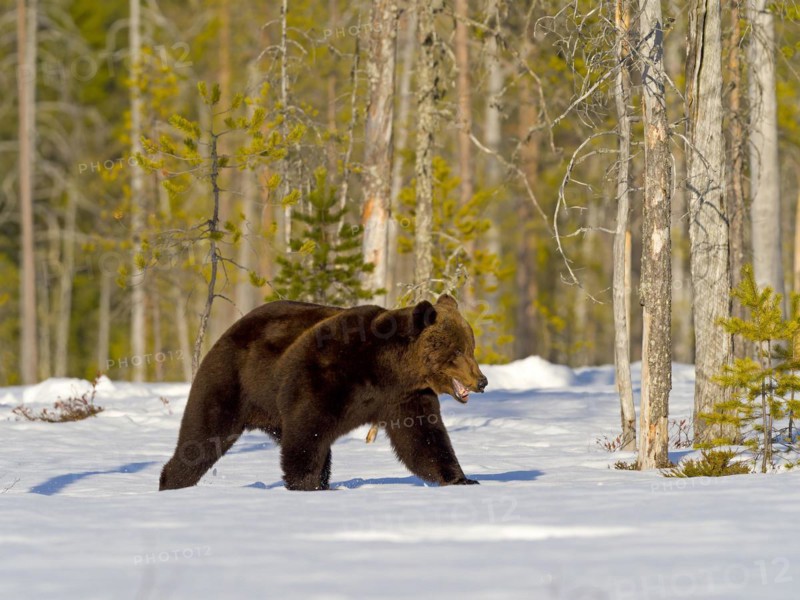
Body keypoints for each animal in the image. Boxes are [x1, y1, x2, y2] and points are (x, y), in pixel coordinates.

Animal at [159, 294, 487, 491]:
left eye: (471, 346)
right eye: (457, 350)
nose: (482, 380)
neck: (389, 369)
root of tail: (228, 331)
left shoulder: (405, 398)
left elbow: (424, 440)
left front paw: (462, 478)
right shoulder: (327, 374)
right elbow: (308, 432)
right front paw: (306, 485)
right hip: (231, 383)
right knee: (201, 437)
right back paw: (171, 483)